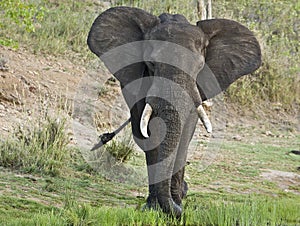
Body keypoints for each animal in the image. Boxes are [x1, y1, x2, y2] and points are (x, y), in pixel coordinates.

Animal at [86, 6, 260, 217]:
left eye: (200, 67)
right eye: (152, 64)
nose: (179, 208)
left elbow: (184, 135)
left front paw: (176, 204)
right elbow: (150, 135)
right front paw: (154, 208)